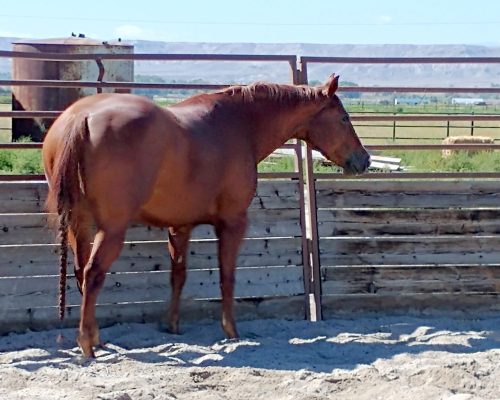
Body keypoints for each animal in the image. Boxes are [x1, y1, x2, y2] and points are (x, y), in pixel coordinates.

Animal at [43, 74, 370, 356]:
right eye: (344, 117)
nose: (364, 160)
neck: (238, 125)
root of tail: (81, 116)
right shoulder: (233, 222)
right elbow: (227, 276)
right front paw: (231, 331)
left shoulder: (180, 226)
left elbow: (178, 275)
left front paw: (173, 326)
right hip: (111, 229)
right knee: (92, 274)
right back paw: (87, 344)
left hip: (80, 225)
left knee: (80, 272)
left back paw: (96, 337)